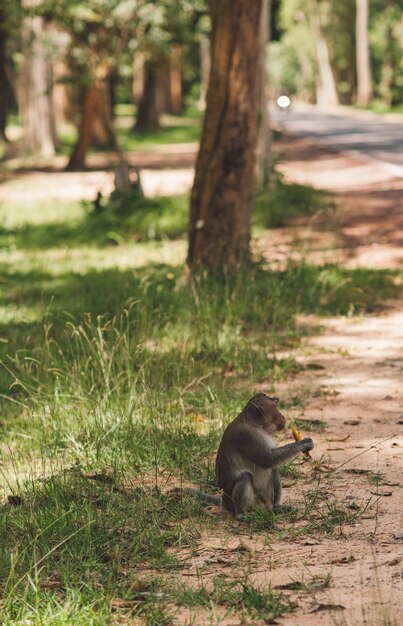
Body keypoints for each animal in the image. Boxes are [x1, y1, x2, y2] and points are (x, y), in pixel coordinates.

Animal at [181, 392, 316, 520]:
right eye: (275, 407)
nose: (283, 416)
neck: (256, 424)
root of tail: (224, 500)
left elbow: (271, 463)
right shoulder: (249, 436)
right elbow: (268, 459)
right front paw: (304, 443)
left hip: (262, 499)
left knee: (273, 471)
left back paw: (276, 508)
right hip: (246, 501)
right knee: (245, 477)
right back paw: (241, 515)